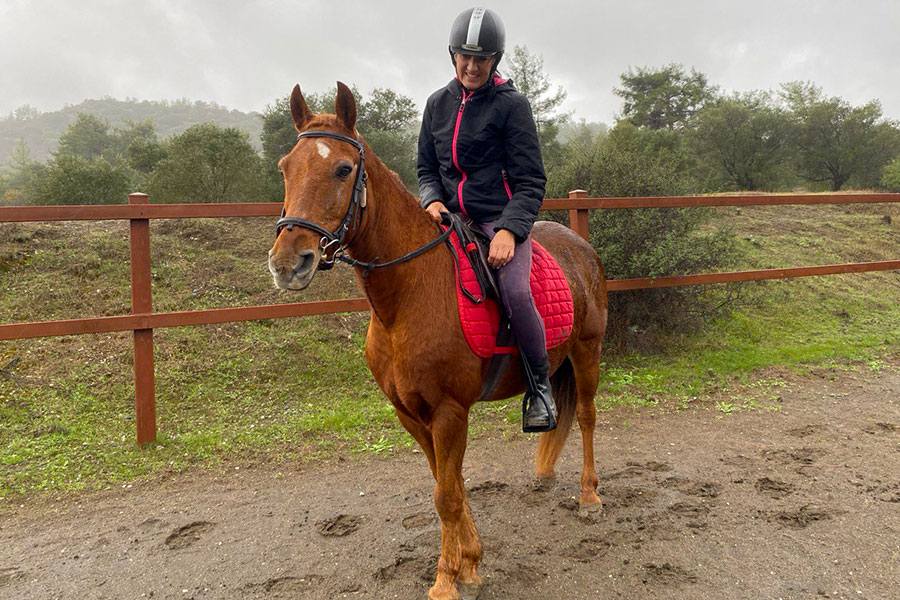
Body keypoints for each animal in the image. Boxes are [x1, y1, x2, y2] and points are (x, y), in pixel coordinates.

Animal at [268, 82, 608, 600]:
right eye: (286, 167)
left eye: (343, 169)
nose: (289, 263)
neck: (406, 298)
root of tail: (578, 244)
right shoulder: (410, 414)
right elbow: (448, 484)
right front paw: (470, 561)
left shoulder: (450, 411)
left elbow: (446, 494)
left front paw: (447, 578)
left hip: (588, 351)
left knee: (587, 417)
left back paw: (589, 496)